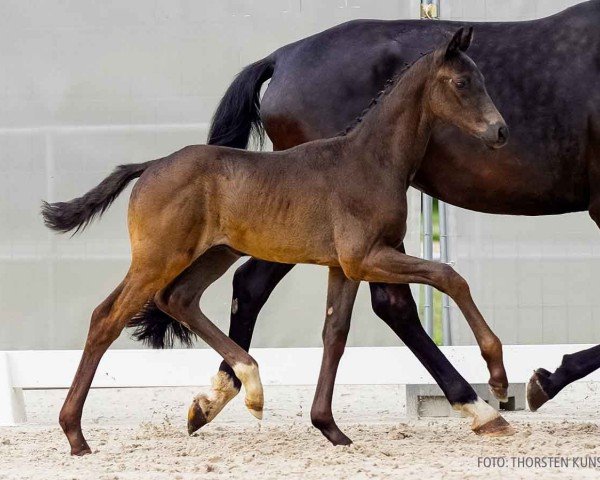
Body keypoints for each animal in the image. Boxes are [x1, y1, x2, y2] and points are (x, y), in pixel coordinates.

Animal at [42, 28, 510, 456]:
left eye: (483, 79)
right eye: (461, 82)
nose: (501, 131)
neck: (370, 161)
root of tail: (151, 165)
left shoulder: (344, 267)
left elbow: (335, 334)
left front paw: (329, 427)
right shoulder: (366, 257)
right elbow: (449, 276)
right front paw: (498, 378)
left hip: (215, 254)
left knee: (177, 298)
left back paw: (247, 387)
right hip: (158, 257)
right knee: (107, 317)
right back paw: (76, 435)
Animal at [180, 0, 600, 436]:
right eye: (462, 83)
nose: (501, 131)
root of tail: (281, 58)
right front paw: (539, 380)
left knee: (262, 286)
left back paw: (218, 397)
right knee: (383, 302)